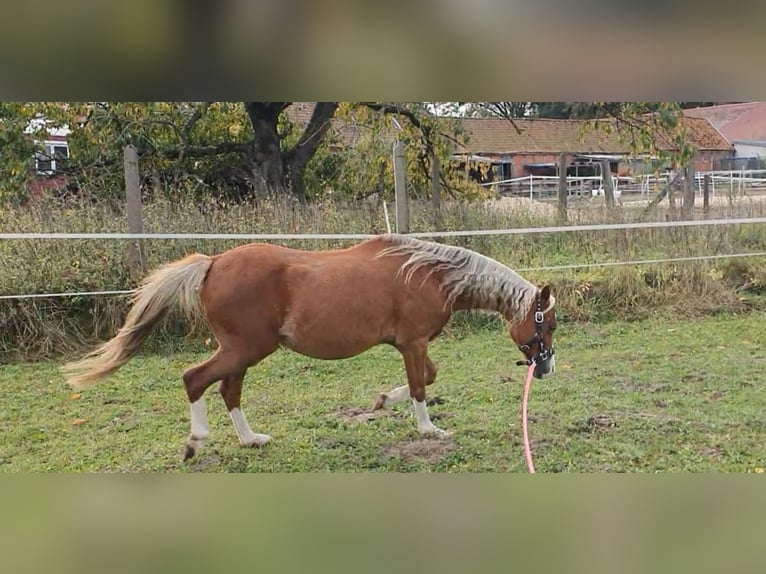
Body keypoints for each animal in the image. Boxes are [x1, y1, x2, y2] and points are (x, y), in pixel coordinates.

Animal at [63, 233, 557, 460]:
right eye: (548, 323)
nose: (546, 369)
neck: (428, 272)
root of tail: (213, 263)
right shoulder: (413, 343)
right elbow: (421, 386)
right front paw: (428, 429)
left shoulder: (409, 345)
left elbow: (426, 378)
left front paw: (382, 400)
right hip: (244, 349)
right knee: (195, 379)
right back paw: (195, 442)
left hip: (242, 352)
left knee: (228, 391)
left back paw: (251, 439)